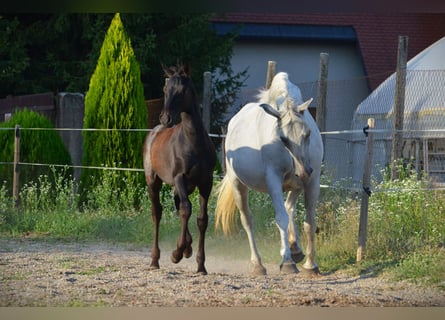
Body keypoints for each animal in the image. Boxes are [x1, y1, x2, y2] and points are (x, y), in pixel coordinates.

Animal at [142, 65, 217, 276]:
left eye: (182, 90)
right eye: (165, 90)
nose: (166, 118)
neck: (193, 142)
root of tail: (154, 131)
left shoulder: (206, 182)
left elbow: (201, 218)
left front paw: (200, 265)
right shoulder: (180, 177)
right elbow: (186, 209)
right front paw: (176, 253)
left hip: (182, 186)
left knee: (178, 206)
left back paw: (187, 248)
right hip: (154, 181)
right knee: (157, 213)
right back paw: (155, 260)